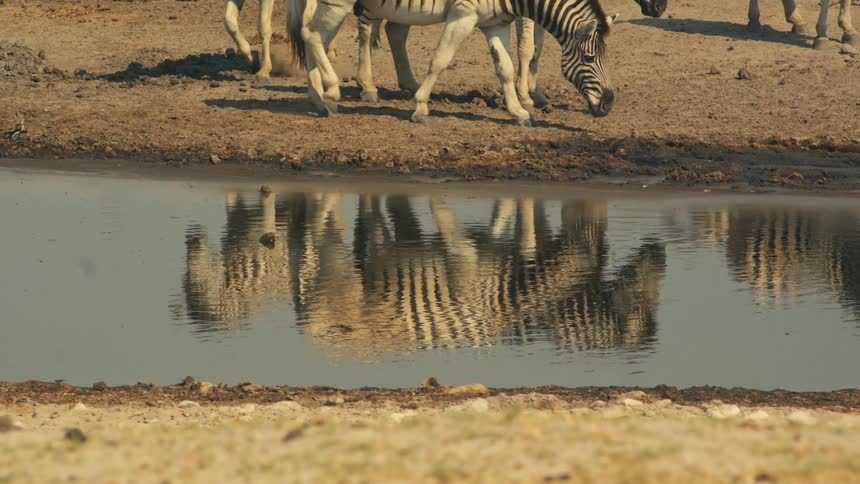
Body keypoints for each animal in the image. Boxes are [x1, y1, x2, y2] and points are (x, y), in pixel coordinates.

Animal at [287, 0, 617, 125]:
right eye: (589, 58)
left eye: (606, 58)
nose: (608, 106)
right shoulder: (463, 14)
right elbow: (440, 60)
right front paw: (421, 107)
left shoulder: (494, 23)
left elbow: (505, 68)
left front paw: (519, 111)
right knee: (313, 34)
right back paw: (334, 89)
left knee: (314, 38)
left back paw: (319, 101)